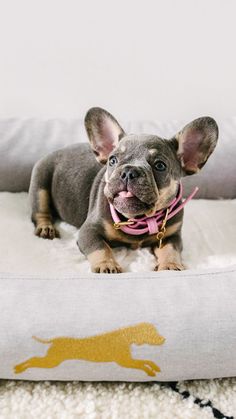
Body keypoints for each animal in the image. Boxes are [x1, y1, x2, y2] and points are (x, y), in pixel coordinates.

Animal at [30, 106, 219, 274]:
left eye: (160, 166)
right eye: (112, 160)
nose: (129, 171)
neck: (139, 219)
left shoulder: (171, 236)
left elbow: (171, 249)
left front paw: (170, 264)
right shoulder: (89, 231)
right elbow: (100, 247)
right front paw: (107, 265)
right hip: (40, 182)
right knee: (40, 212)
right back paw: (46, 228)